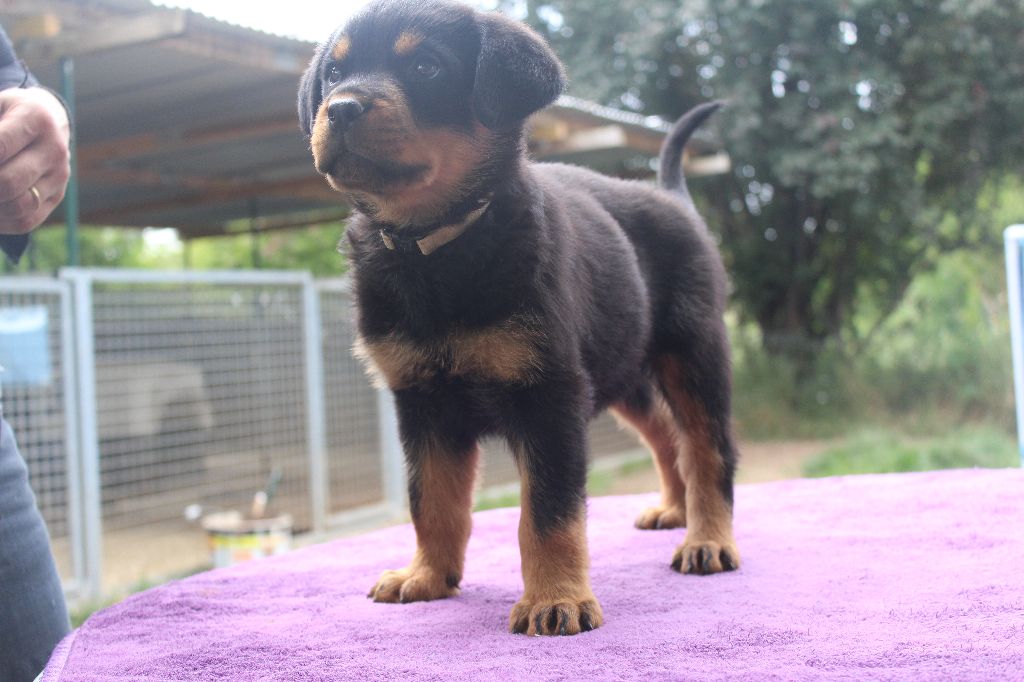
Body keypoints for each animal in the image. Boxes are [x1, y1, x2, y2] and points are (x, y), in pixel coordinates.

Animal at [298, 0, 740, 636]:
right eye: (334, 74)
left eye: (427, 67)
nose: (341, 107)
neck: (435, 246)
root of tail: (674, 199)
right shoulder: (421, 401)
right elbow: (430, 499)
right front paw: (426, 577)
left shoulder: (549, 394)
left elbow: (549, 511)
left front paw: (555, 599)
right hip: (619, 371)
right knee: (665, 436)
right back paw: (674, 511)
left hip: (693, 354)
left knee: (708, 447)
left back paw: (708, 539)